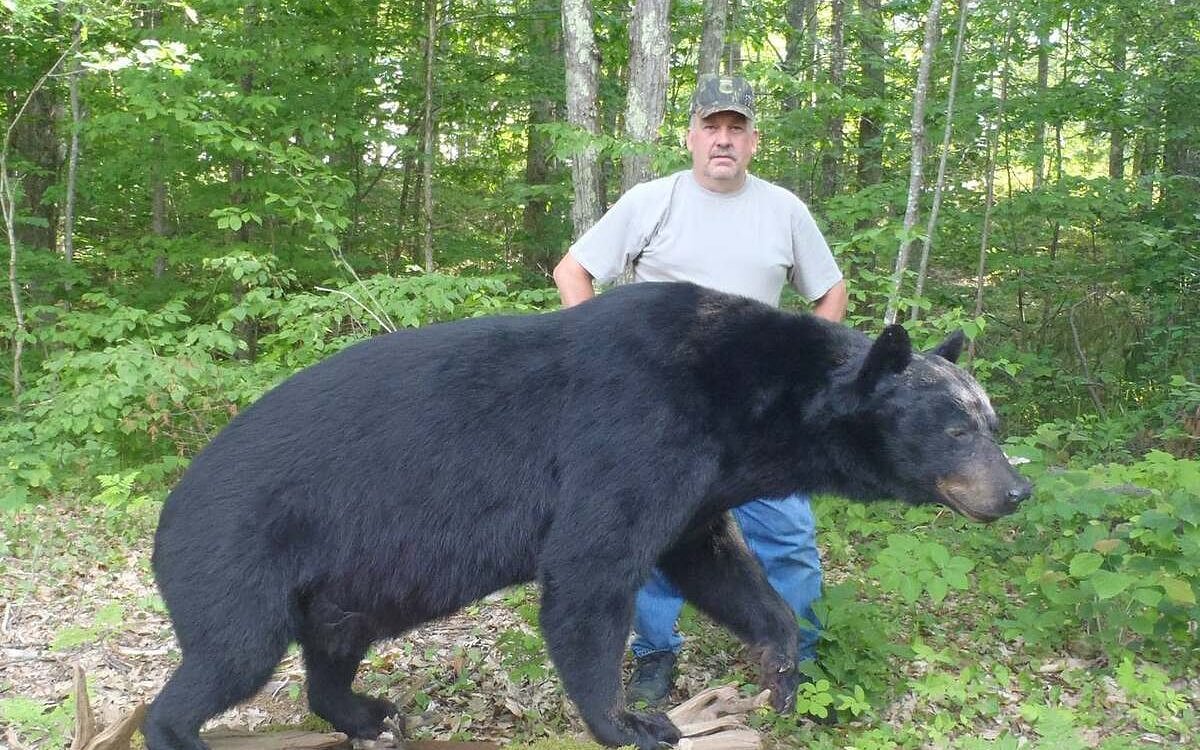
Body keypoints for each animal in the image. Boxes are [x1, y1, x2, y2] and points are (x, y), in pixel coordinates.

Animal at [143, 281, 1031, 750]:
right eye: (957, 428)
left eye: (992, 422)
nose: (1016, 490)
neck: (740, 402)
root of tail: (168, 511)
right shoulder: (633, 431)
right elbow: (590, 574)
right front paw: (632, 719)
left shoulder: (702, 483)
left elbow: (712, 563)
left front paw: (782, 666)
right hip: (239, 555)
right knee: (232, 654)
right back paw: (182, 728)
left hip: (347, 582)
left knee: (333, 648)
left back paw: (366, 711)